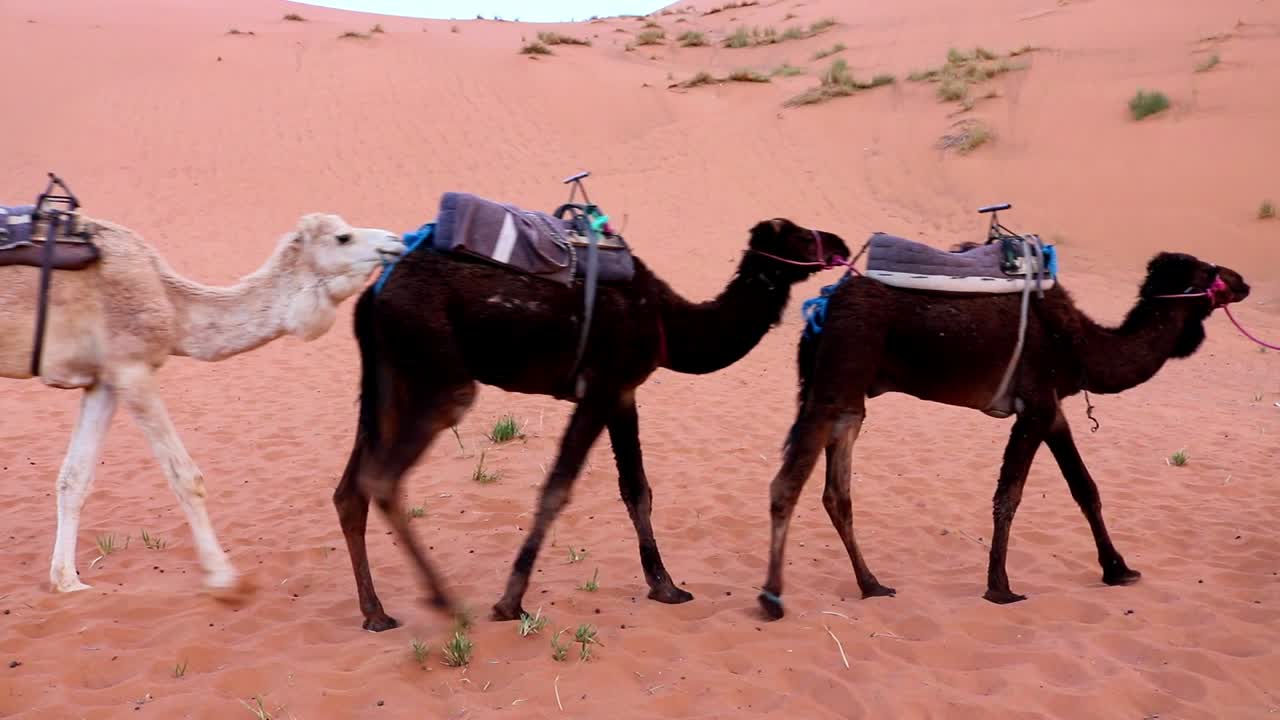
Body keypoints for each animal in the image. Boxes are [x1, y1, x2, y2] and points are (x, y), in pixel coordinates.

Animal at [0, 212, 405, 596]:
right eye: (342, 237)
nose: (396, 241)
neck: (170, 300)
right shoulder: (133, 369)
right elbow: (185, 477)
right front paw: (224, 578)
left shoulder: (106, 379)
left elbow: (75, 478)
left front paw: (67, 582)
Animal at [332, 218, 850, 631]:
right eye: (799, 234)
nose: (840, 242)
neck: (665, 317)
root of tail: (371, 296)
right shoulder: (601, 387)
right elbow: (557, 489)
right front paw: (510, 602)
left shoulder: (623, 394)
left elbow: (637, 489)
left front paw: (666, 586)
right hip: (438, 379)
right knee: (383, 477)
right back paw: (444, 601)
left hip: (387, 381)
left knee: (350, 490)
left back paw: (376, 613)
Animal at [756, 250, 1250, 619]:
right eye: (1208, 271)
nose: (1243, 281)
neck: (1081, 344)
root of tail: (822, 307)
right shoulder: (1035, 406)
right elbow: (1009, 496)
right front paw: (1000, 588)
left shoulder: (1052, 410)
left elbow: (1084, 487)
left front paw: (1118, 569)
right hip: (838, 374)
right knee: (787, 483)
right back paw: (772, 598)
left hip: (848, 398)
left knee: (836, 492)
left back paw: (872, 584)